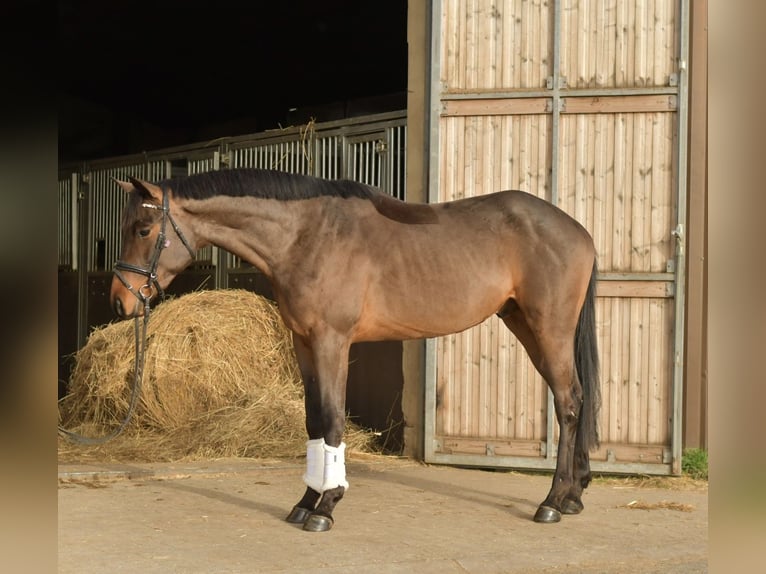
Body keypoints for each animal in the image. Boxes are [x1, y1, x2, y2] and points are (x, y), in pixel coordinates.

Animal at [110, 168, 601, 532]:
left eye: (144, 228)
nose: (120, 301)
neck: (306, 236)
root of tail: (579, 231)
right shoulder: (304, 342)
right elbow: (313, 420)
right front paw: (306, 501)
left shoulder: (332, 340)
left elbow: (332, 418)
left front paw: (326, 506)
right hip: (524, 324)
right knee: (575, 398)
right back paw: (574, 495)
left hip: (549, 328)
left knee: (569, 402)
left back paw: (552, 501)